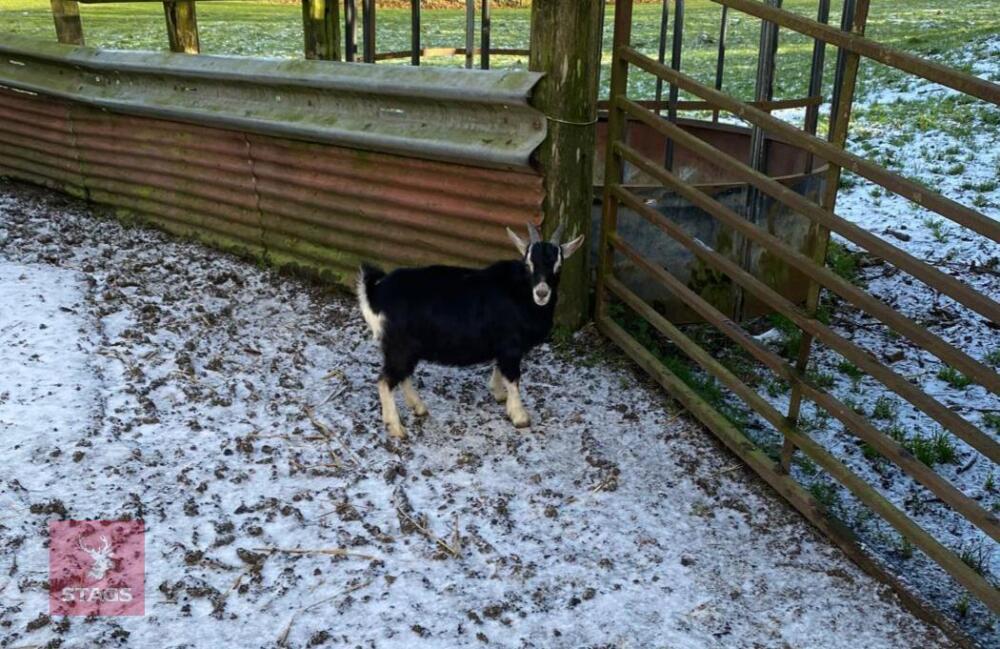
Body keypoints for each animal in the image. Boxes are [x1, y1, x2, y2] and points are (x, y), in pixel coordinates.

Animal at [356, 221, 585, 438]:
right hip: (400, 345)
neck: (521, 293)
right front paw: (520, 417)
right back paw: (396, 428)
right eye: (528, 264)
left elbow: (500, 369)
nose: (542, 293)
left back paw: (418, 407)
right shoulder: (510, 346)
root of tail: (376, 293)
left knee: (401, 375)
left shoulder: (503, 346)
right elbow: (513, 377)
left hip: (406, 348)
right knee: (385, 381)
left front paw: (499, 394)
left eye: (558, 265)